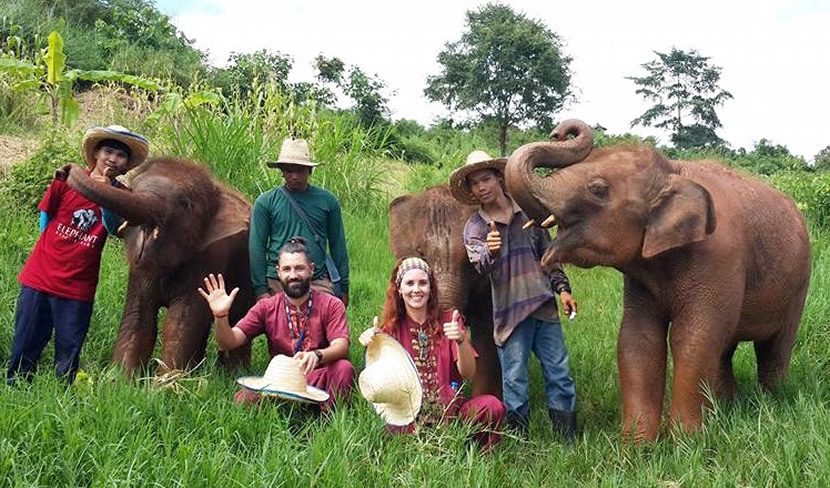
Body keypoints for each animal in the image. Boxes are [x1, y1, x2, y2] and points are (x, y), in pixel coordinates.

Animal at [56, 158, 252, 376]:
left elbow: (179, 322)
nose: (63, 170)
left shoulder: (212, 256)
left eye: (185, 203)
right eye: (131, 190)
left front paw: (165, 382)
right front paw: (119, 379)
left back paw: (234, 374)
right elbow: (140, 316)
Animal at [508, 119, 812, 442]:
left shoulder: (721, 259)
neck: (673, 171)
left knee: (775, 346)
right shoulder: (641, 279)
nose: (559, 131)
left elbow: (693, 338)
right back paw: (727, 406)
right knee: (725, 347)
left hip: (800, 283)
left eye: (598, 189)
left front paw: (686, 441)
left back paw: (772, 400)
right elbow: (638, 340)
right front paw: (637, 445)